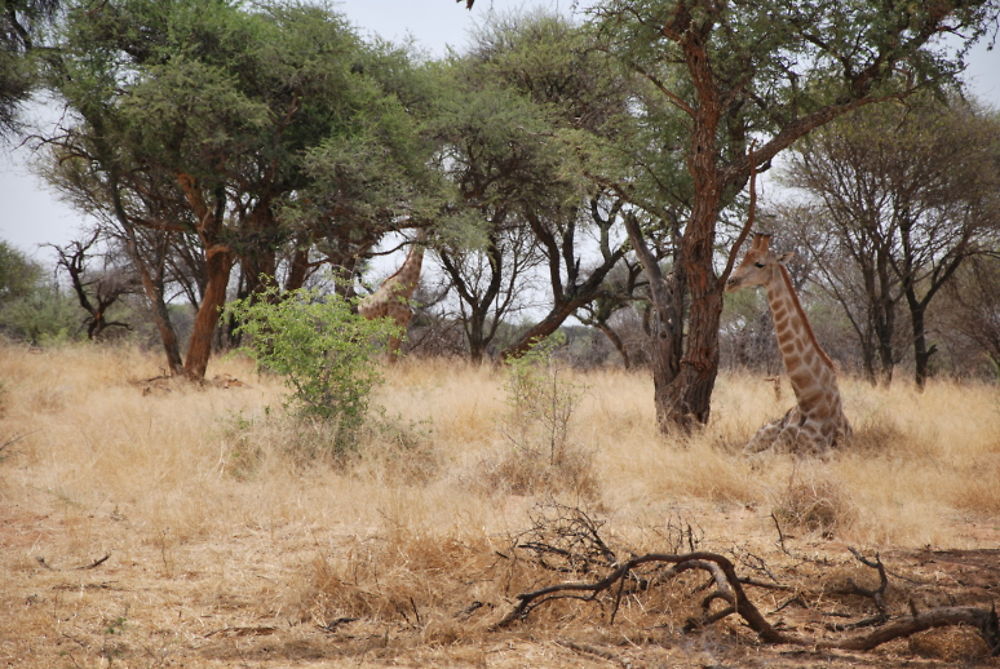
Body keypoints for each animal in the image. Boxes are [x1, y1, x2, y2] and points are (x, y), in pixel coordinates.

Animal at [358, 228, 428, 360]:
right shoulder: (396, 321)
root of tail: (359, 306)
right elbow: (391, 355)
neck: (406, 289)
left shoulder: (404, 322)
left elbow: (393, 354)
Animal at [728, 232, 852, 456]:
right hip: (761, 433)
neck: (808, 400)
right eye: (743, 258)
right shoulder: (779, 446)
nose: (730, 282)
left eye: (759, 263)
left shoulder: (813, 451)